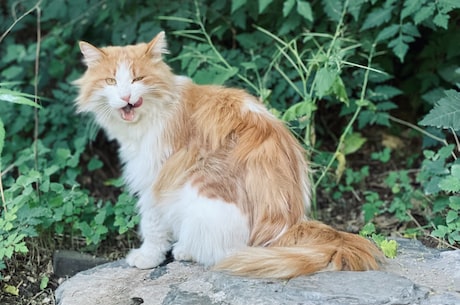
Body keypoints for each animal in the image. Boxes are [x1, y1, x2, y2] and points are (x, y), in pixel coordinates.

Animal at [75, 32, 382, 276]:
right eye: (111, 81)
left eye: (138, 78)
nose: (126, 96)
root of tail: (289, 225)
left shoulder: (154, 180)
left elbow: (152, 226)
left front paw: (147, 257)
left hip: (199, 190)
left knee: (226, 252)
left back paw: (186, 250)